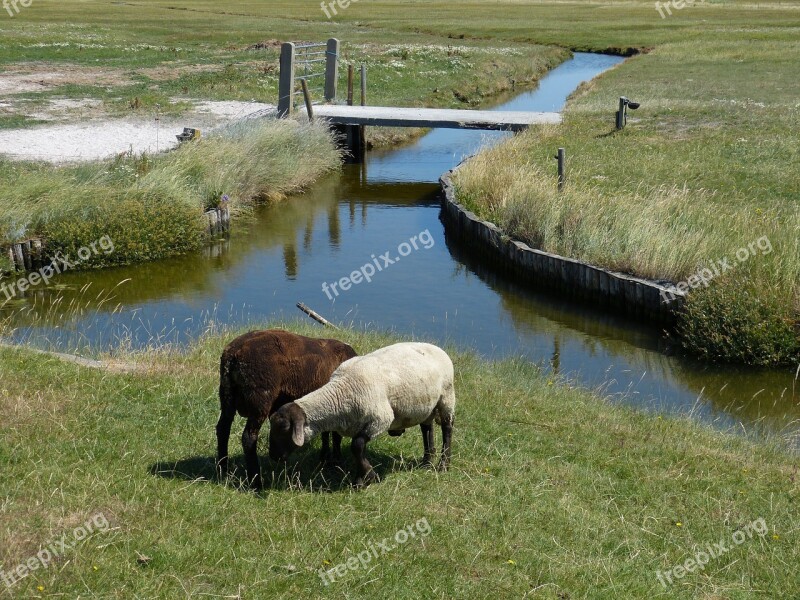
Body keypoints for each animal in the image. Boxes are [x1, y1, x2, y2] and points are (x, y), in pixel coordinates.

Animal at [217, 330, 358, 490]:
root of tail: (233, 354)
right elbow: (335, 434)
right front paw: (335, 461)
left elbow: (326, 433)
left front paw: (325, 459)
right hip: (260, 397)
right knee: (248, 437)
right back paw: (256, 482)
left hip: (227, 394)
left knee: (223, 429)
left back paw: (223, 470)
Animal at [270, 342, 454, 488]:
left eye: (284, 427)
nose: (274, 456)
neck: (340, 392)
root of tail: (435, 347)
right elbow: (351, 446)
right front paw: (360, 476)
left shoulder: (379, 420)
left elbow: (356, 446)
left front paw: (365, 478)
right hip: (427, 405)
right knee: (427, 428)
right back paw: (427, 462)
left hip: (447, 396)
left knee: (447, 428)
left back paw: (443, 465)